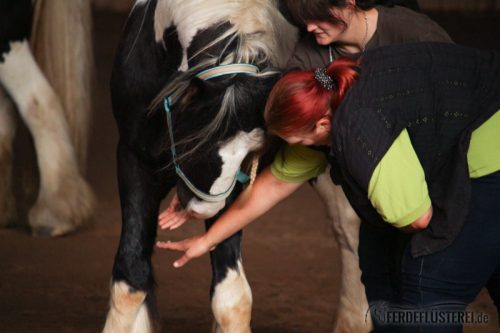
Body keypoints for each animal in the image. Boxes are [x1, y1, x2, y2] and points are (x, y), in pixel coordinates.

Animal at [105, 0, 372, 330]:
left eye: (251, 151)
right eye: (191, 141)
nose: (201, 210)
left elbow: (231, 298)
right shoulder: (134, 159)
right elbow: (130, 279)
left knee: (350, 229)